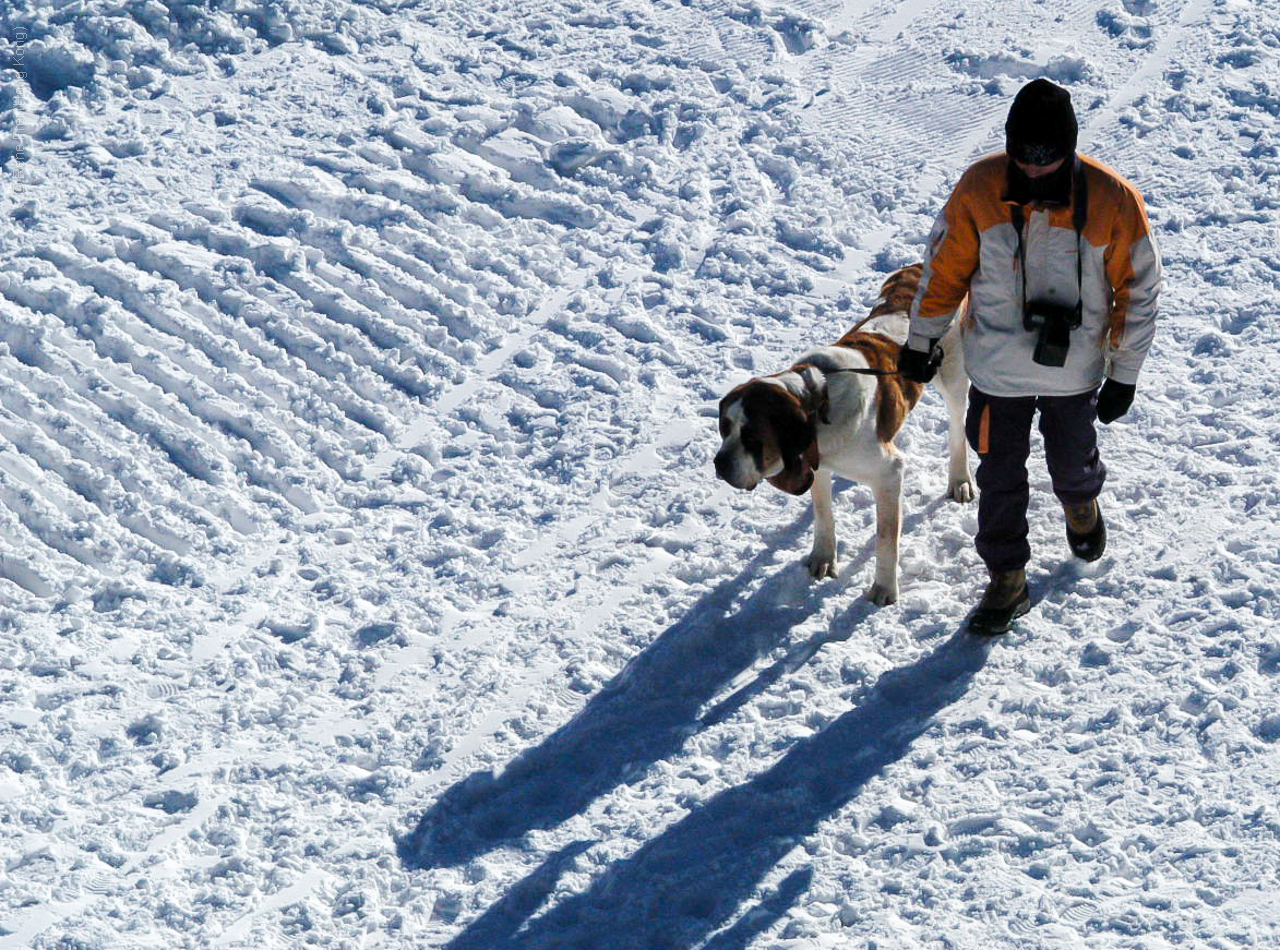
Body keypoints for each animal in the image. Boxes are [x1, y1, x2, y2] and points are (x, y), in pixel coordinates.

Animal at [716, 266, 972, 609]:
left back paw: (960, 480)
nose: (719, 463)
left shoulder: (889, 473)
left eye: (752, 437)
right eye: (725, 428)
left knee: (958, 428)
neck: (819, 401)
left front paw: (884, 588)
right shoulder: (817, 461)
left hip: (953, 374)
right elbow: (823, 512)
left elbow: (885, 536)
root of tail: (920, 267)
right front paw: (824, 557)